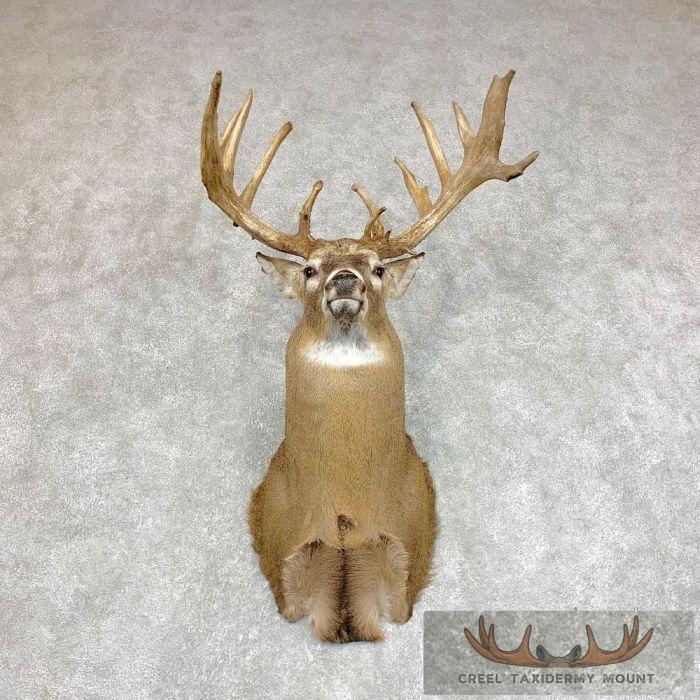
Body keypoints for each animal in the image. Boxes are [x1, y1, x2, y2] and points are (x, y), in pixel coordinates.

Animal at [200, 69, 538, 643]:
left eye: (377, 268)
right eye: (309, 269)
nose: (344, 279)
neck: (345, 512)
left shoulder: (409, 548)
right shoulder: (280, 542)